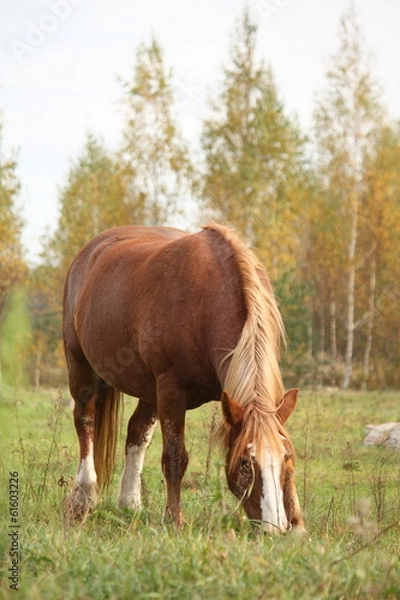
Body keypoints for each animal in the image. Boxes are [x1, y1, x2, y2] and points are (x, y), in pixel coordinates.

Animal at [63, 225, 306, 536]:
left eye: (286, 457)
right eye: (244, 462)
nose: (273, 528)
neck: (207, 300)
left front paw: (298, 524)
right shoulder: (171, 391)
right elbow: (175, 457)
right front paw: (174, 519)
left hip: (149, 389)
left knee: (137, 433)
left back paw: (130, 504)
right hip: (80, 365)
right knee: (86, 422)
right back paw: (83, 500)